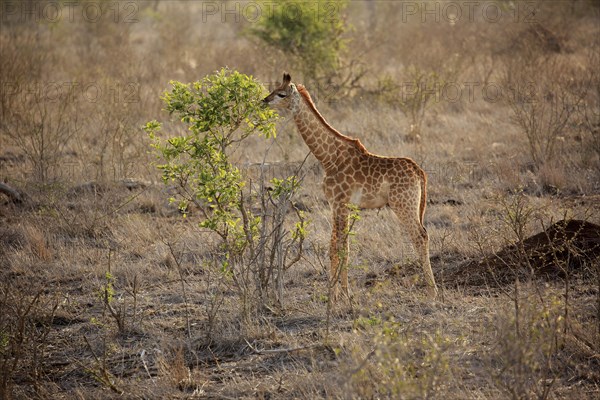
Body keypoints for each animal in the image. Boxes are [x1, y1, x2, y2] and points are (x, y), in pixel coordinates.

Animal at [264, 74, 438, 300]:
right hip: (412, 205)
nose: (264, 100)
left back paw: (432, 292)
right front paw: (336, 294)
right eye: (275, 90)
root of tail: (419, 172)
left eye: (281, 94)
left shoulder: (340, 203)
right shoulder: (337, 205)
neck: (328, 157)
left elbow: (340, 247)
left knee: (420, 236)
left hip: (403, 204)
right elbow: (336, 247)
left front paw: (341, 295)